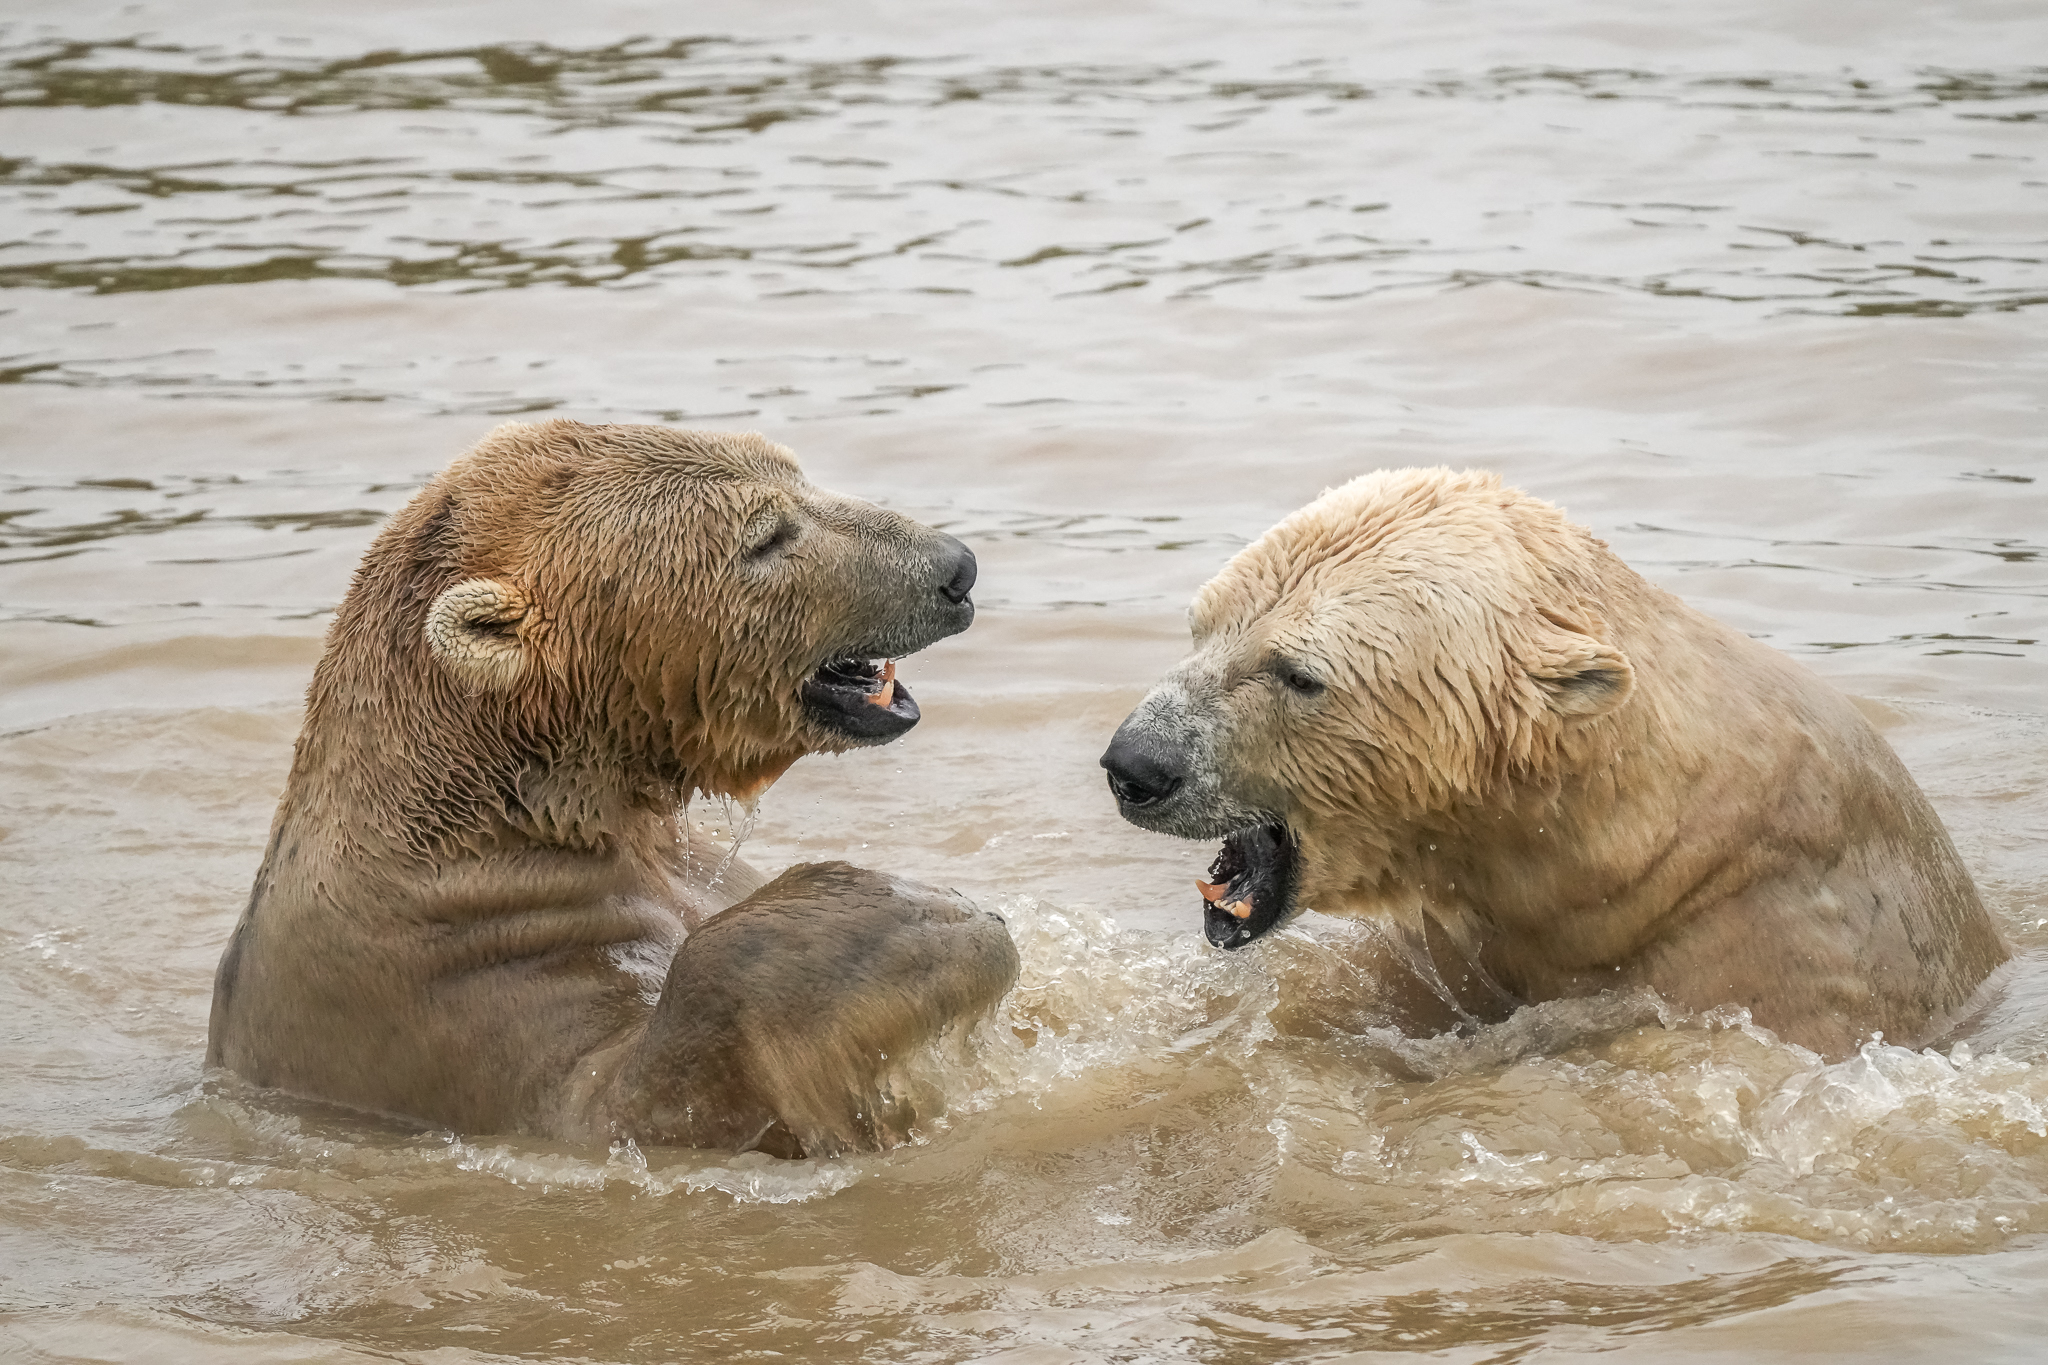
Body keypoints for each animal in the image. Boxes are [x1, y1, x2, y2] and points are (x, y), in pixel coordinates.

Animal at [206, 419, 1019, 1157]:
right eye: (766, 536)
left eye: (798, 476)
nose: (957, 569)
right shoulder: (445, 982)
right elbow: (626, 1103)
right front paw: (904, 912)